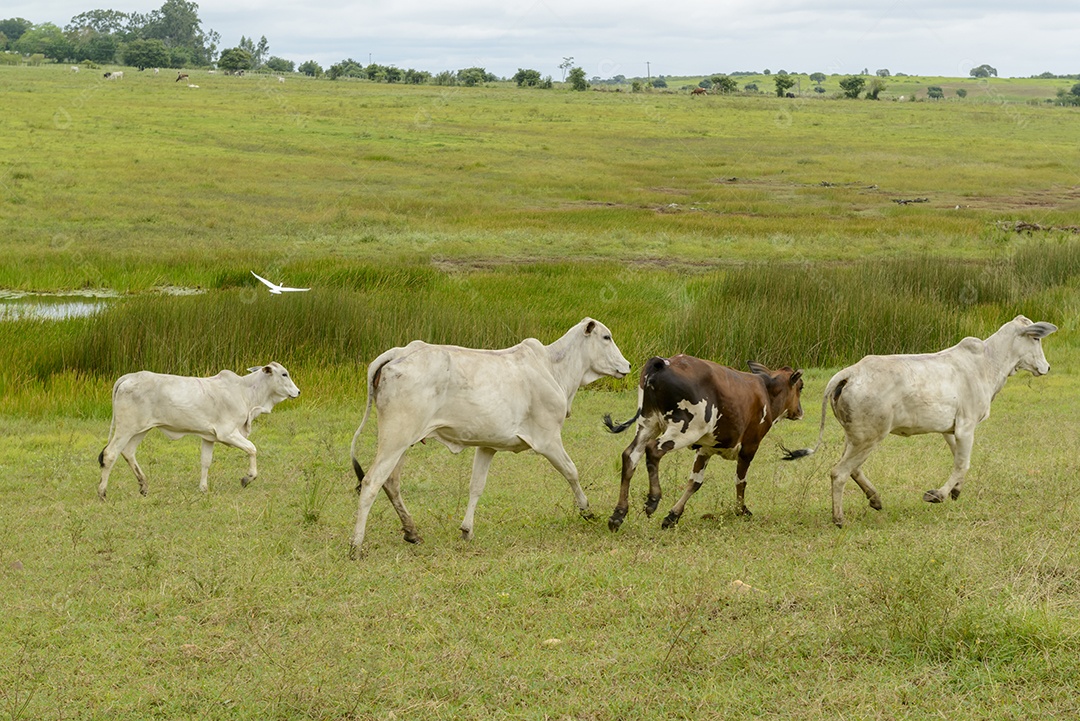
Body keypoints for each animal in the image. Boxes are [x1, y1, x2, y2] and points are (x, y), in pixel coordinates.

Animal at [98, 362, 300, 498]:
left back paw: (144, 486)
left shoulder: (209, 437)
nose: (298, 392)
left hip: (140, 429)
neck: (245, 392)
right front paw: (247, 478)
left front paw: (203, 488)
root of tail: (128, 377)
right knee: (110, 454)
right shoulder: (228, 433)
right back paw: (102, 492)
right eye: (284, 374)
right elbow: (252, 448)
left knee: (128, 452)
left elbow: (205, 462)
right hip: (126, 428)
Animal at [345, 317, 630, 556]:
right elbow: (572, 472)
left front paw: (466, 529)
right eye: (606, 337)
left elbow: (476, 486)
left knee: (391, 482)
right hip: (396, 437)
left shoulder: (487, 445)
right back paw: (356, 545)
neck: (553, 368)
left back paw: (412, 532)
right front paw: (586, 510)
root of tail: (401, 351)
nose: (627, 365)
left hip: (405, 442)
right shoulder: (548, 439)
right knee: (371, 482)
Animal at [604, 354, 807, 528]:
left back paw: (618, 514)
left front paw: (673, 516)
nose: (800, 411)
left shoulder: (705, 449)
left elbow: (695, 482)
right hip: (685, 429)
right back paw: (653, 500)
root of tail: (664, 362)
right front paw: (741, 510)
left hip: (648, 425)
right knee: (653, 450)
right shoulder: (749, 447)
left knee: (630, 456)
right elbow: (740, 481)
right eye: (801, 387)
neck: (766, 390)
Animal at [781, 313, 1058, 526]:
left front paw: (955, 490)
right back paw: (839, 518)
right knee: (839, 472)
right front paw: (937, 495)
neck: (988, 364)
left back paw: (875, 499)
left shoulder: (951, 430)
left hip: (856, 437)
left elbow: (961, 461)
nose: (1046, 367)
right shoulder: (966, 426)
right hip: (869, 437)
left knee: (853, 469)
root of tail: (850, 372)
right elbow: (962, 464)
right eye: (1035, 338)